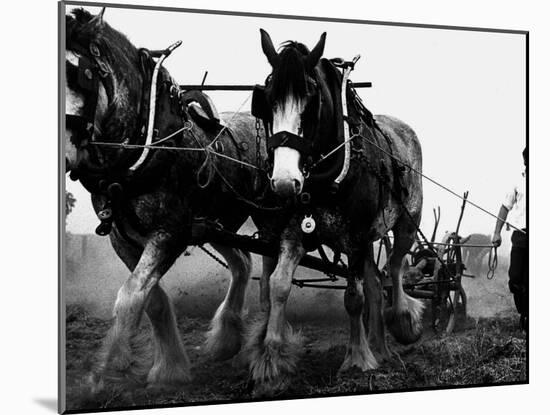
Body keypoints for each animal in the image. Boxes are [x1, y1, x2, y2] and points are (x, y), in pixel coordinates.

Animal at [64, 9, 268, 392]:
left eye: (80, 75)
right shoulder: (124, 239)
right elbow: (152, 299)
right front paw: (170, 368)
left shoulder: (169, 233)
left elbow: (131, 296)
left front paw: (104, 373)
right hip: (215, 224)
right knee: (243, 262)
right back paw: (225, 340)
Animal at [247, 30, 426, 396]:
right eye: (267, 100)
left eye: (310, 101)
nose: (284, 182)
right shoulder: (294, 234)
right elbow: (278, 286)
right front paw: (270, 362)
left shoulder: (355, 236)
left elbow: (353, 298)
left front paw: (357, 358)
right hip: (365, 240)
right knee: (376, 282)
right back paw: (380, 347)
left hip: (406, 221)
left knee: (396, 267)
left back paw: (402, 320)